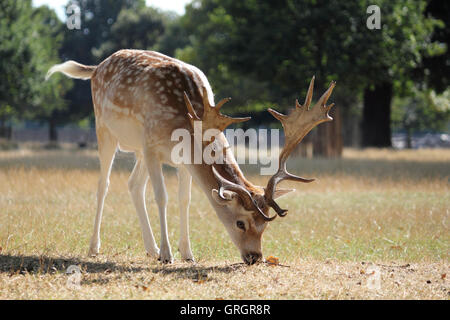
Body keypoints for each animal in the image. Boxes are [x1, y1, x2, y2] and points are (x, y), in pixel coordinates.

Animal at [46, 49, 334, 264]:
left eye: (265, 226)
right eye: (240, 223)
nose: (255, 257)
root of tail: (97, 67)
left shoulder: (182, 160)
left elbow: (184, 200)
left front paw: (187, 253)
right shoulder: (152, 146)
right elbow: (161, 197)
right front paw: (167, 254)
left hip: (137, 148)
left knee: (133, 184)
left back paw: (149, 248)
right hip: (105, 129)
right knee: (104, 184)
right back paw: (95, 247)